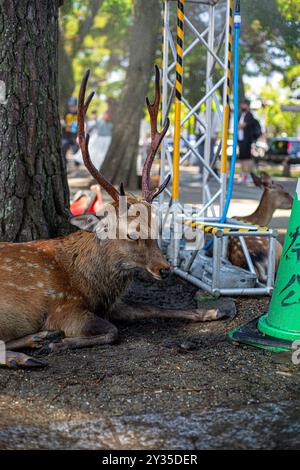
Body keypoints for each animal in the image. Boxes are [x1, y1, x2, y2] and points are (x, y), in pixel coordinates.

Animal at [0, 67, 233, 368]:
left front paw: (214, 312)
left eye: (159, 228)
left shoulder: (110, 305)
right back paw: (28, 353)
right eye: (132, 233)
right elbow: (113, 331)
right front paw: (58, 342)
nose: (166, 269)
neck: (89, 283)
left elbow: (150, 306)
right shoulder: (64, 307)